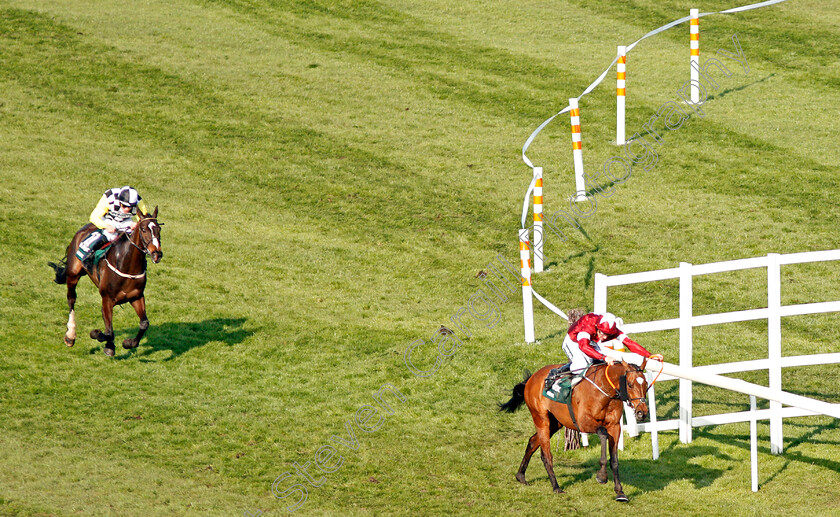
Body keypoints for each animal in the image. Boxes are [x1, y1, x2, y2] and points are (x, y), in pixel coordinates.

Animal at [49, 208, 164, 356]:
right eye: (143, 229)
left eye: (159, 229)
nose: (157, 254)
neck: (127, 266)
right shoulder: (107, 298)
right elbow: (108, 331)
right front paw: (99, 337)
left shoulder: (136, 296)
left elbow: (144, 323)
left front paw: (128, 343)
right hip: (73, 274)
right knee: (71, 299)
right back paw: (70, 336)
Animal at [498, 358, 648, 500]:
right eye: (630, 384)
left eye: (646, 384)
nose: (642, 412)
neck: (604, 390)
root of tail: (532, 378)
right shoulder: (583, 423)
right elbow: (602, 433)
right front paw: (602, 476)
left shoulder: (615, 427)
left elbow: (615, 460)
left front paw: (620, 492)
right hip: (541, 419)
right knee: (546, 454)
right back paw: (556, 487)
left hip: (556, 422)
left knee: (533, 441)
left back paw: (520, 476)